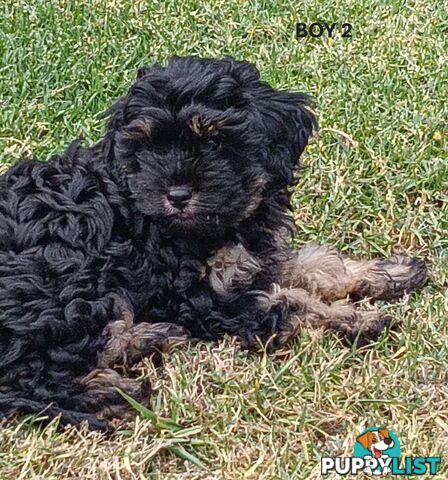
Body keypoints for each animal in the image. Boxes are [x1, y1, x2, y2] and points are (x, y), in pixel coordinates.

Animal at [0, 58, 428, 430]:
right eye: (147, 147)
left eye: (215, 142)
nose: (177, 195)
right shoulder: (201, 296)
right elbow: (291, 302)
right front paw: (356, 318)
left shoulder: (254, 259)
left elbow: (316, 265)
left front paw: (389, 272)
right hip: (68, 286)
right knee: (30, 375)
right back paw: (117, 390)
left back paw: (150, 338)